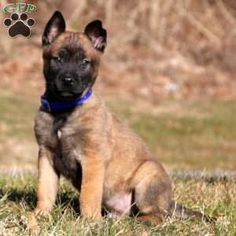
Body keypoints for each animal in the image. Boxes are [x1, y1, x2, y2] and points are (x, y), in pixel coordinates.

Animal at [28, 11, 211, 230]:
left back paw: (139, 223)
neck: (64, 111)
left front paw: (89, 222)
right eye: (58, 59)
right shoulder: (46, 155)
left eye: (84, 62)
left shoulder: (93, 159)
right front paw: (40, 215)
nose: (68, 80)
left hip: (148, 174)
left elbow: (88, 194)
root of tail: (170, 202)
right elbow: (45, 190)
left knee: (158, 215)